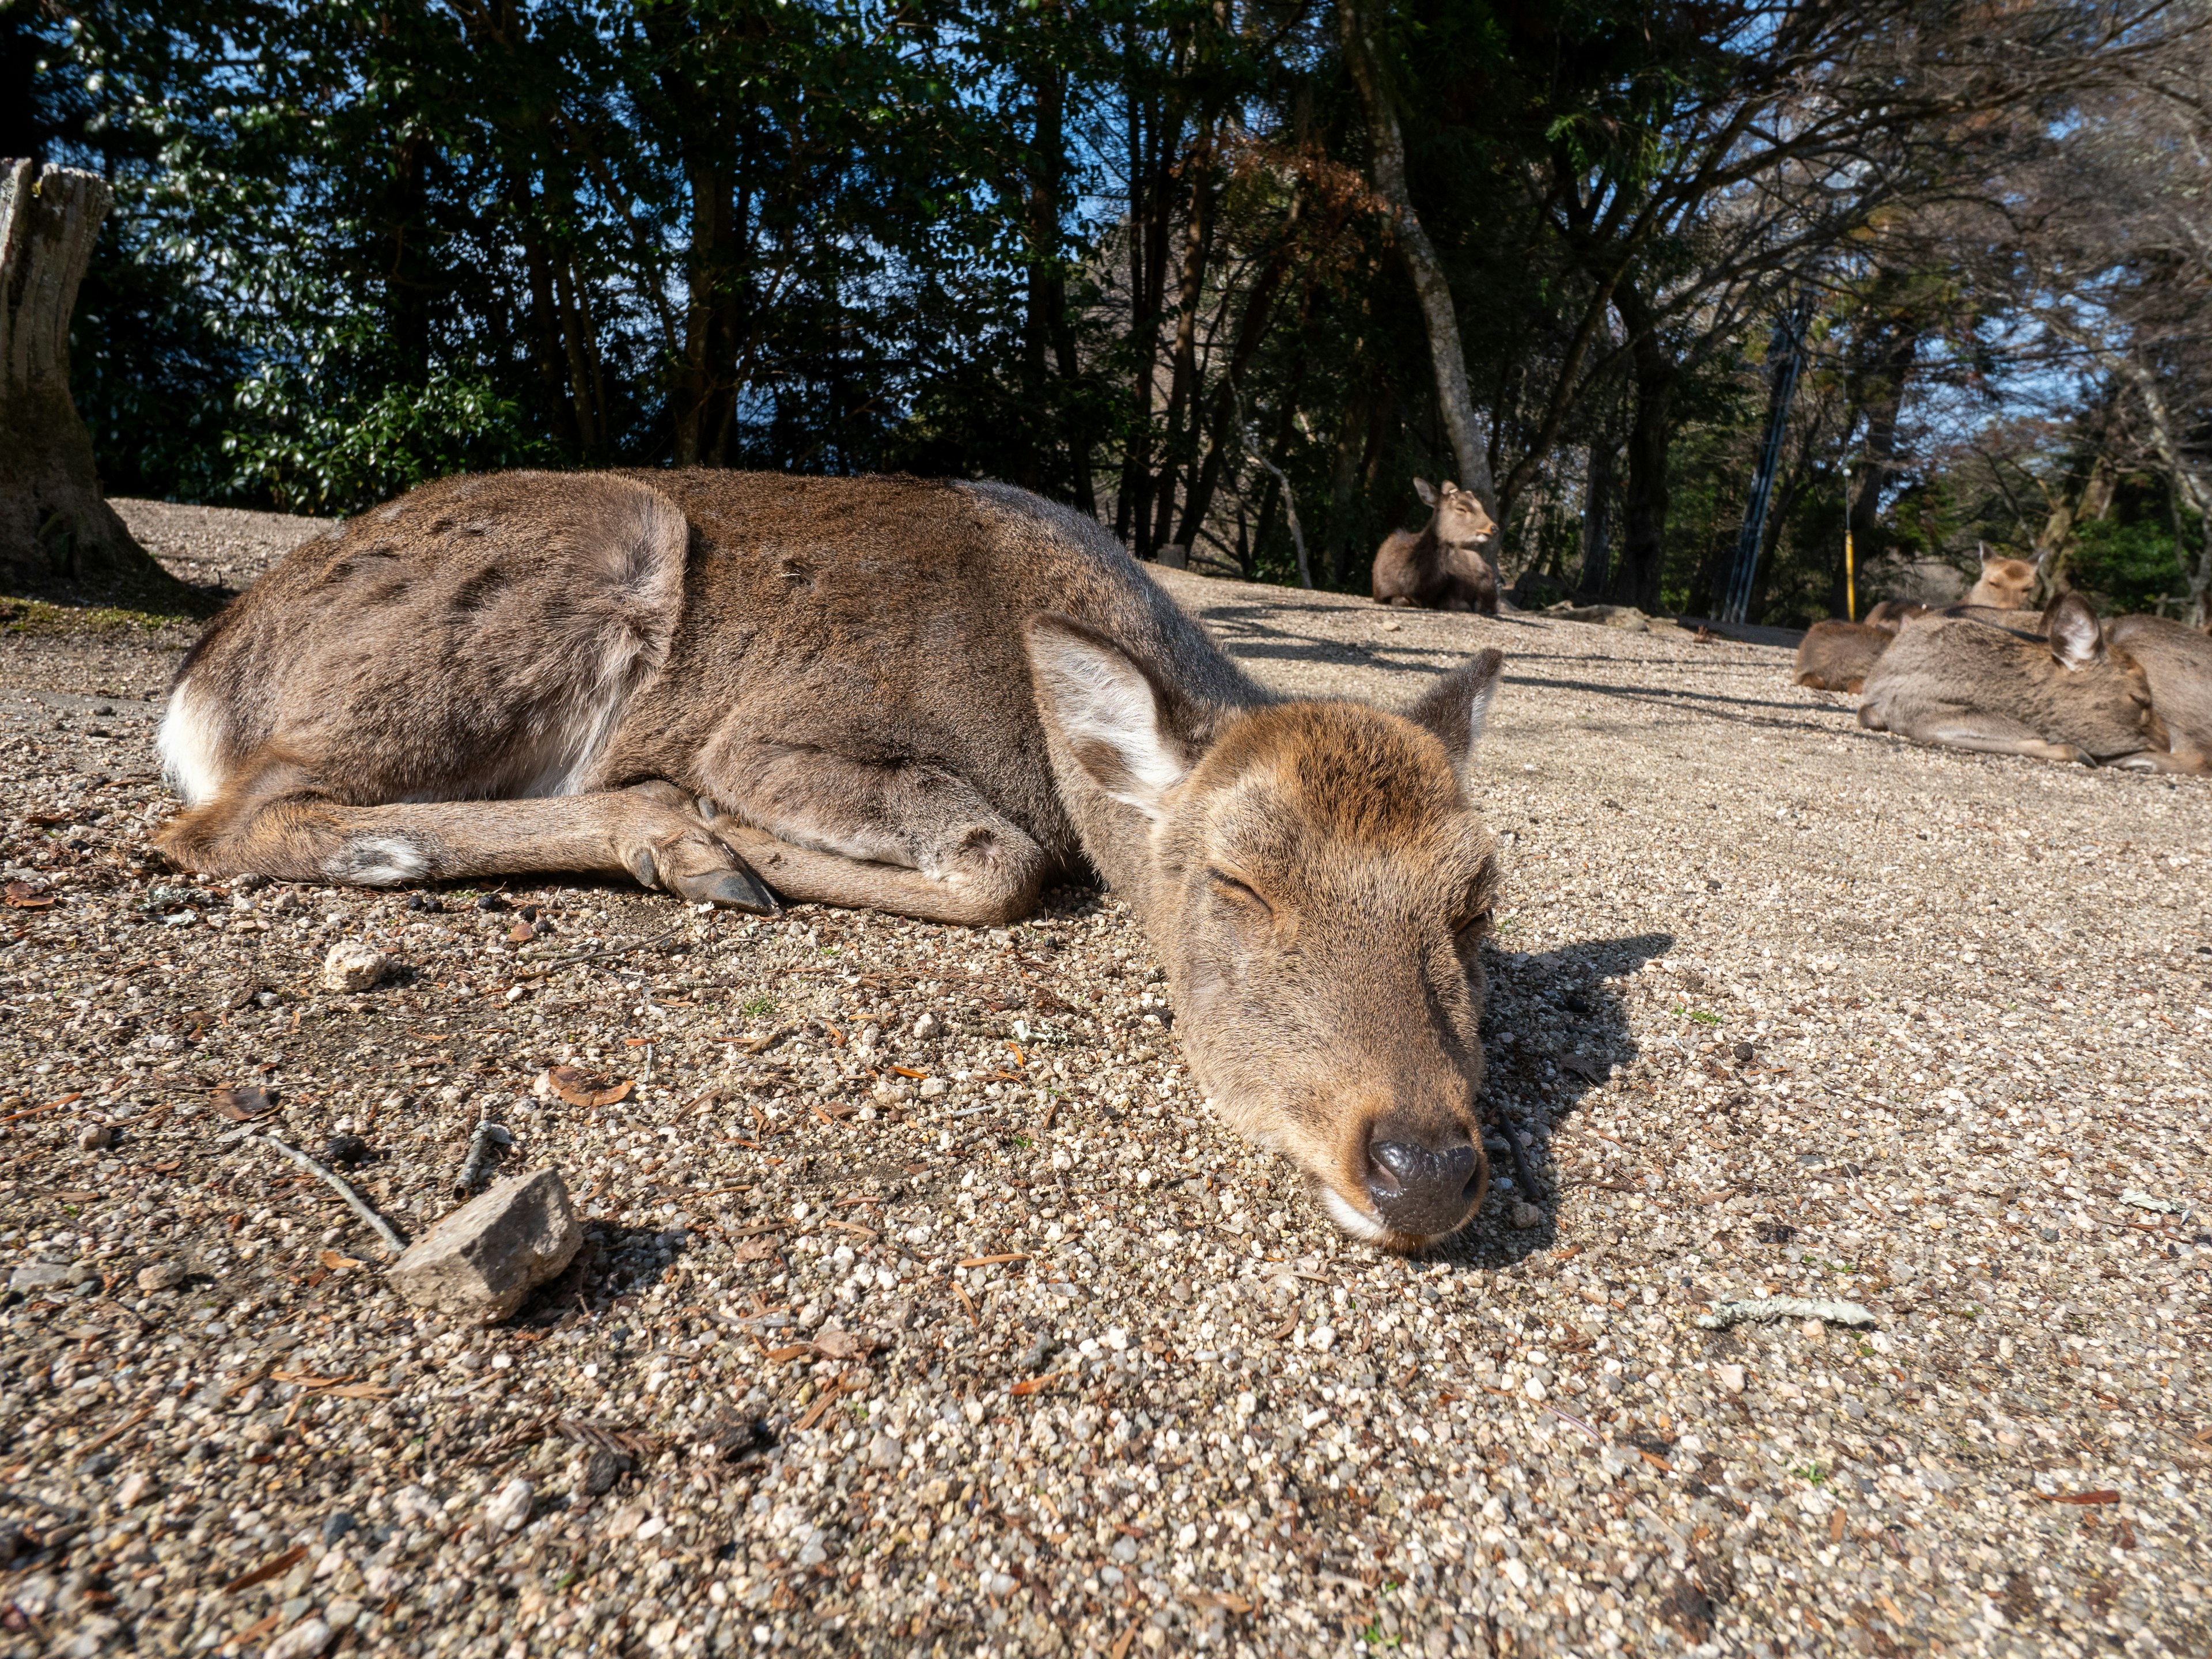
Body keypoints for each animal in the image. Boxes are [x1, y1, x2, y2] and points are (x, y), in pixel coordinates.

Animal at [1371, 480, 1495, 619]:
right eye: (1461, 509)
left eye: (1480, 506)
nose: (1493, 528)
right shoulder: (1380, 593)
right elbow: (1401, 600)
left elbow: (1450, 603)